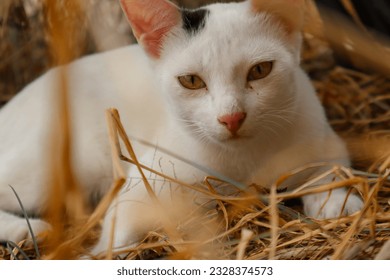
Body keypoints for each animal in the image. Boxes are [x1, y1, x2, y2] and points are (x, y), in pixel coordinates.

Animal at [0, 0, 362, 255]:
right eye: (191, 81)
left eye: (260, 70)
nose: (231, 118)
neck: (241, 158)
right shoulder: (145, 177)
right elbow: (122, 226)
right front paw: (102, 253)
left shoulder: (323, 137)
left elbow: (329, 168)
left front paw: (337, 200)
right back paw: (27, 230)